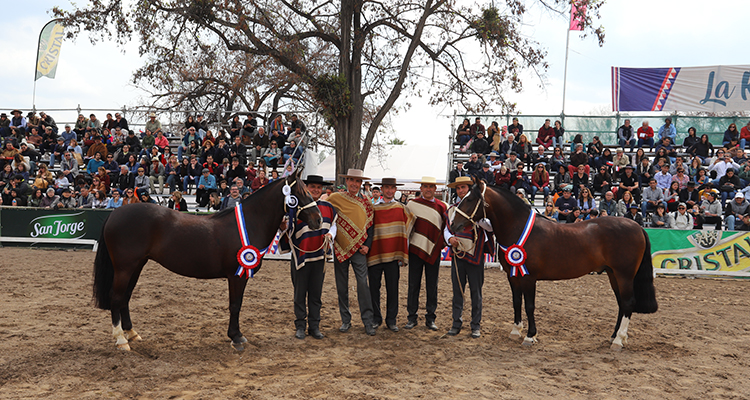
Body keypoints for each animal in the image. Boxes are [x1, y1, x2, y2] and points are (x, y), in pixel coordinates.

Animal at [92, 170, 322, 352]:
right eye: (300, 194)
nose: (318, 220)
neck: (249, 222)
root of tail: (114, 214)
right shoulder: (237, 276)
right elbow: (235, 305)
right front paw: (236, 337)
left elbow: (236, 305)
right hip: (125, 267)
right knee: (116, 297)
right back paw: (121, 340)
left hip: (137, 265)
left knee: (125, 298)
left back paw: (131, 334)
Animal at [452, 180, 656, 350]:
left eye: (469, 199)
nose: (453, 225)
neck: (518, 227)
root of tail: (638, 227)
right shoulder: (513, 275)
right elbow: (516, 302)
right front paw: (516, 331)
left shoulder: (529, 277)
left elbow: (529, 305)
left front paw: (530, 336)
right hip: (613, 274)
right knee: (621, 303)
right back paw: (614, 336)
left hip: (624, 275)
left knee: (628, 302)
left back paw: (619, 340)